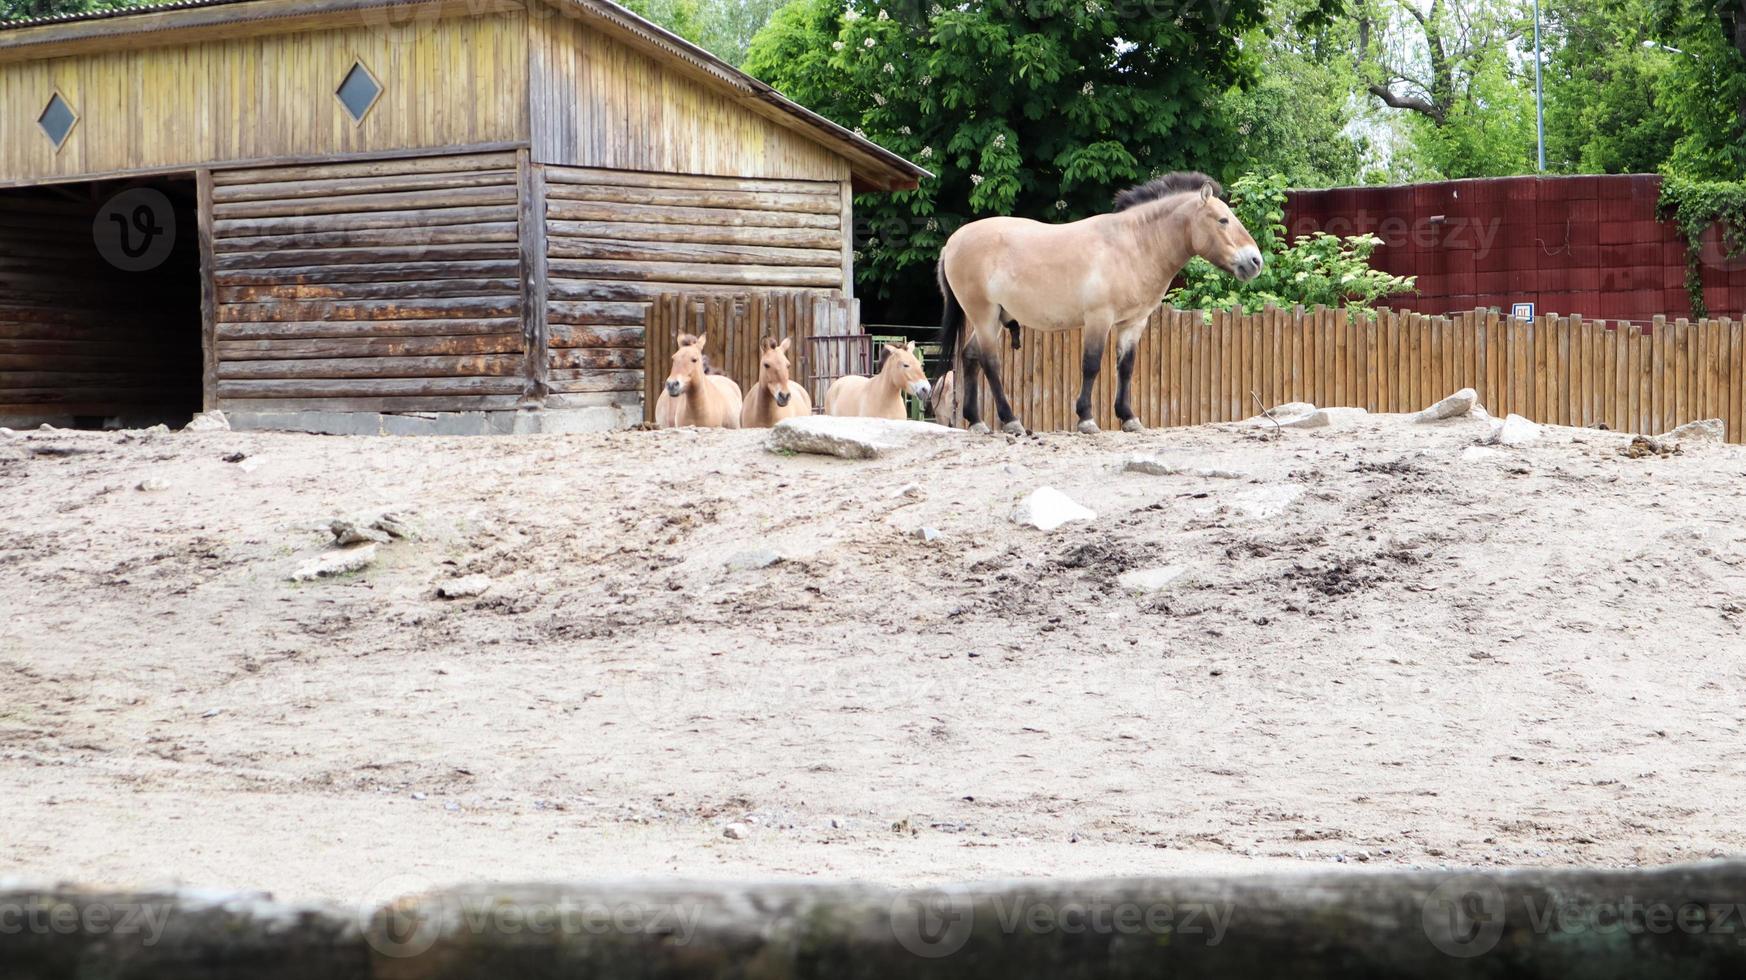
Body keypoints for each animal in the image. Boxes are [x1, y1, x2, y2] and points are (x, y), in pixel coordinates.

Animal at [942, 173, 1257, 433]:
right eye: (1223, 220)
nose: (1255, 261)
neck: (1133, 246)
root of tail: (952, 242)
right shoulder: (1099, 319)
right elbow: (1091, 365)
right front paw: (1086, 418)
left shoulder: (1133, 323)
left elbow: (1126, 367)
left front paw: (1129, 417)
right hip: (984, 316)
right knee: (990, 363)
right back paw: (1010, 420)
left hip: (994, 319)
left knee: (970, 358)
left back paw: (977, 421)